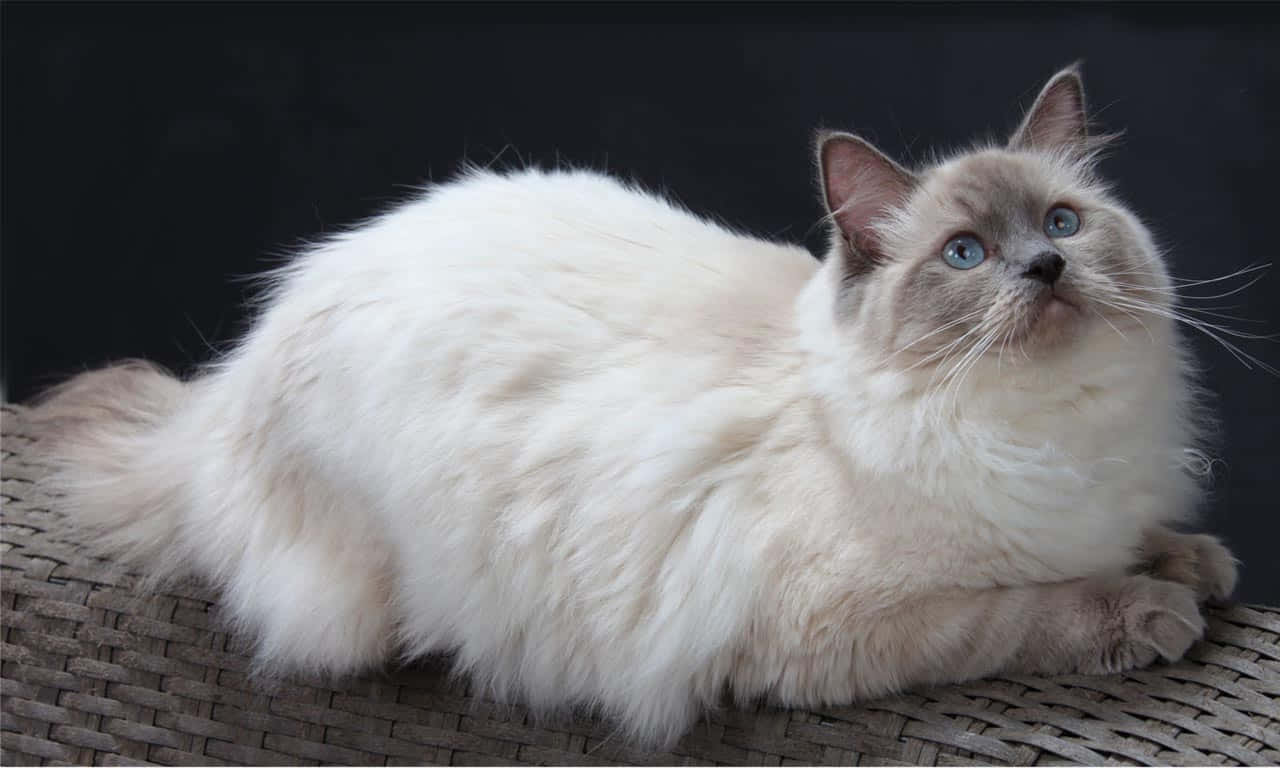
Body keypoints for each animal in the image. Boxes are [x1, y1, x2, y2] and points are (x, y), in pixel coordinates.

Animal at [24, 63, 1233, 747]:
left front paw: (1193, 563)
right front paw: (1146, 612)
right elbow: (1028, 608)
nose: (1044, 270)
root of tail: (229, 386)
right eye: (966, 254)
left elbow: (1136, 543)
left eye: (1063, 224)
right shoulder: (847, 625)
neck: (1050, 427)